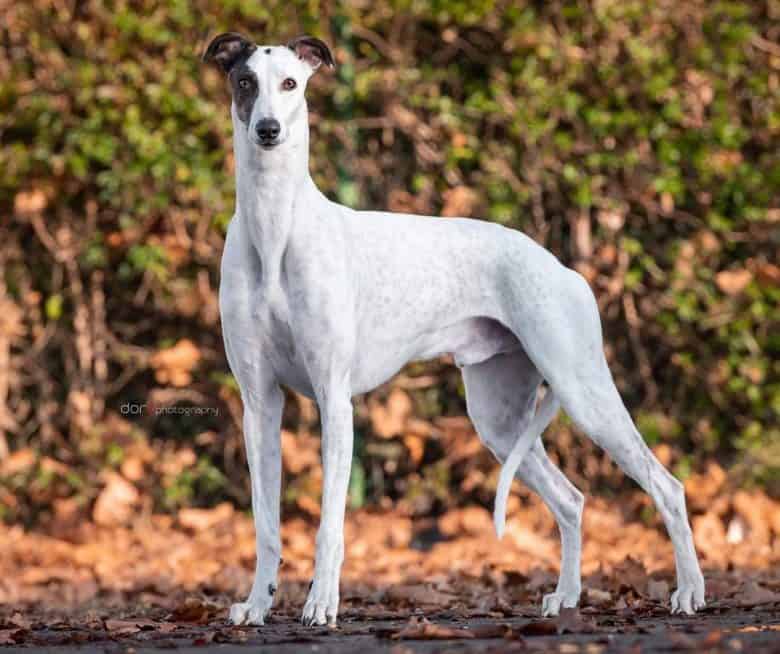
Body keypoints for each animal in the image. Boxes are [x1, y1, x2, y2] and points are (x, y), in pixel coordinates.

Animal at [203, 33, 708, 628]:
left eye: (290, 84)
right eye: (244, 82)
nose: (267, 131)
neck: (275, 228)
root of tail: (565, 270)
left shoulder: (334, 399)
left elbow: (330, 526)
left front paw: (321, 603)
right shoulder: (260, 403)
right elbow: (265, 524)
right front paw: (257, 604)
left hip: (584, 392)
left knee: (667, 486)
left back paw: (689, 592)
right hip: (499, 419)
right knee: (571, 499)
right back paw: (564, 596)